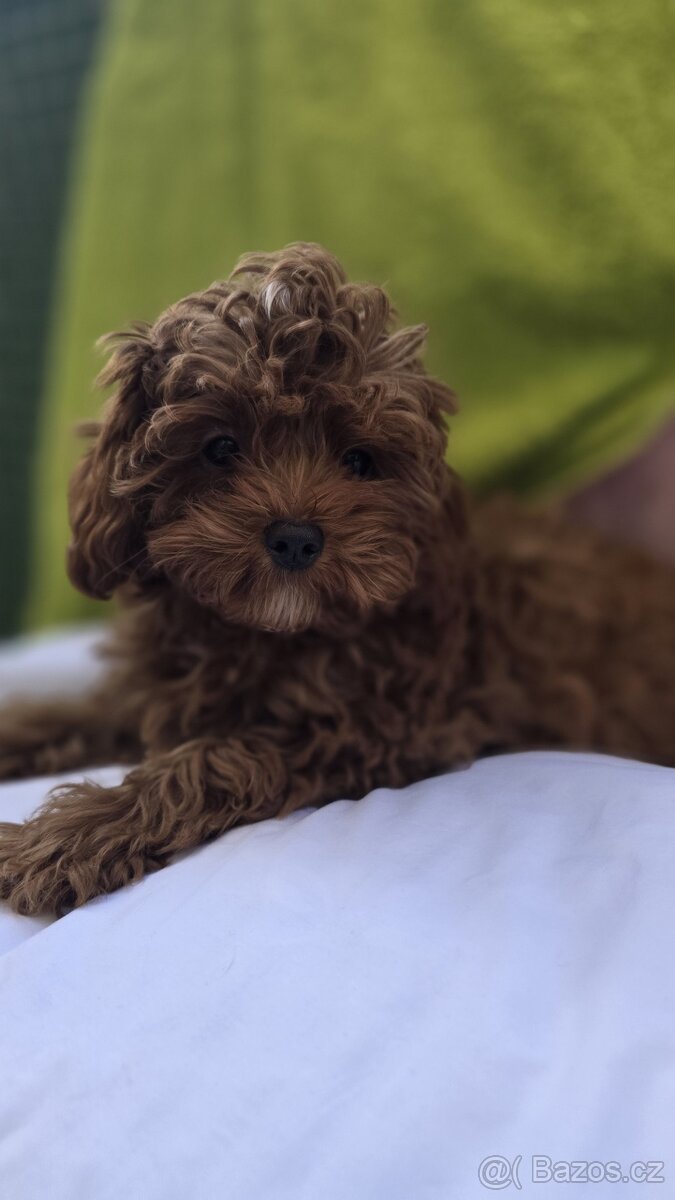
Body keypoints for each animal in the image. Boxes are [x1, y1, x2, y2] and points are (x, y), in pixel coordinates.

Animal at [1, 243, 673, 916]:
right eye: (220, 448)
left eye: (359, 461)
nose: (296, 538)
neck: (267, 633)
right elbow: (77, 712)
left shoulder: (382, 729)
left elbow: (217, 758)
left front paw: (73, 835)